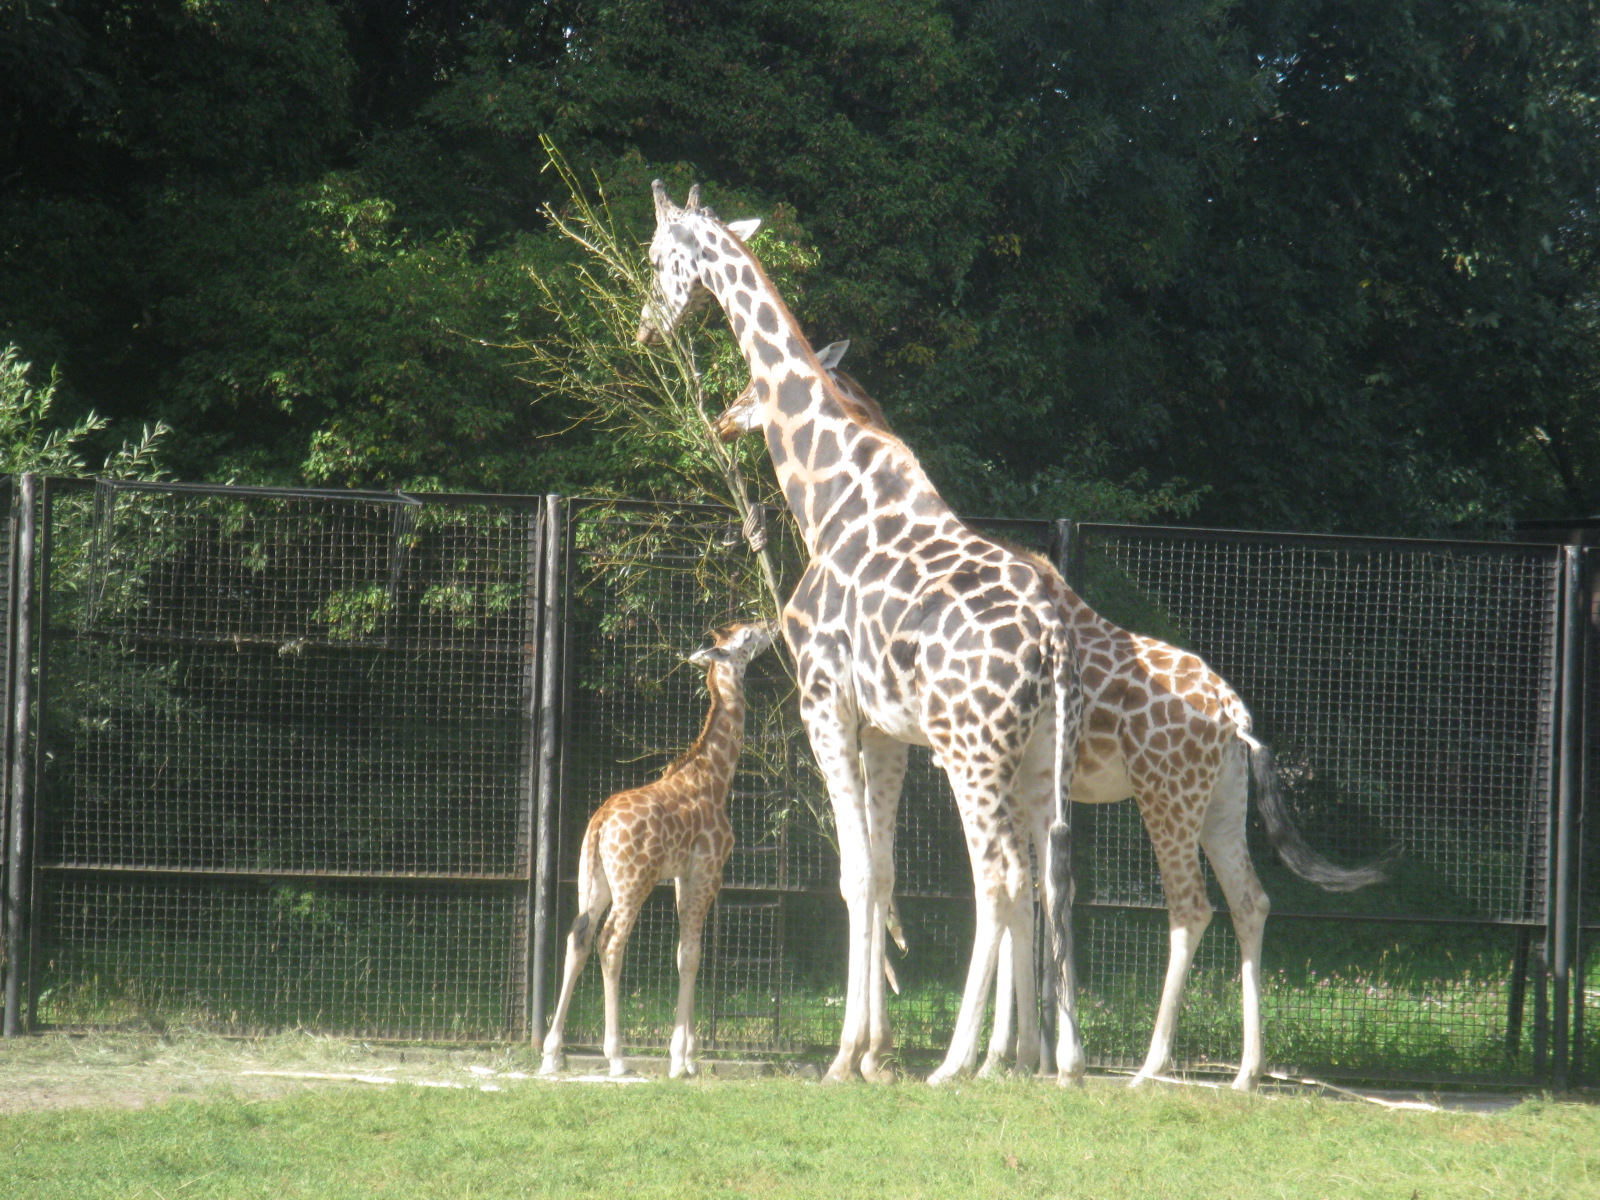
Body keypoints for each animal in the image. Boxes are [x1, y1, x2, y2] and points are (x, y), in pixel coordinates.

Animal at [540, 619, 775, 1079]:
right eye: (747, 636)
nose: (772, 625)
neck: (716, 779)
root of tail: (599, 824)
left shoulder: (683, 876)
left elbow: (684, 953)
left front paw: (687, 1055)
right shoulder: (706, 872)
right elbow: (691, 954)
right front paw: (682, 1060)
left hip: (593, 880)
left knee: (579, 936)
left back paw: (552, 1053)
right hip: (634, 881)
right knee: (610, 942)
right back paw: (617, 1057)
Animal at [638, 181, 1086, 1086]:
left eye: (655, 255)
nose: (642, 326)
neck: (826, 494)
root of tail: (1056, 639)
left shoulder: (824, 704)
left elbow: (850, 875)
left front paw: (846, 1055)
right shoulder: (886, 730)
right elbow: (880, 875)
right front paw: (876, 1051)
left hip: (974, 749)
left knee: (999, 876)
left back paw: (960, 1061)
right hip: (1033, 754)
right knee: (1044, 876)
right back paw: (1037, 1058)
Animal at [716, 347, 1389, 1090]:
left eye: (748, 389)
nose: (723, 418)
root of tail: (1235, 711)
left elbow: (1019, 895)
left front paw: (1000, 1058)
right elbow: (1034, 899)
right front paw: (1019, 1056)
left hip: (1164, 796)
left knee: (1188, 905)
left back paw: (1146, 1067)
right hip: (1219, 800)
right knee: (1250, 901)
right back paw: (1245, 1071)